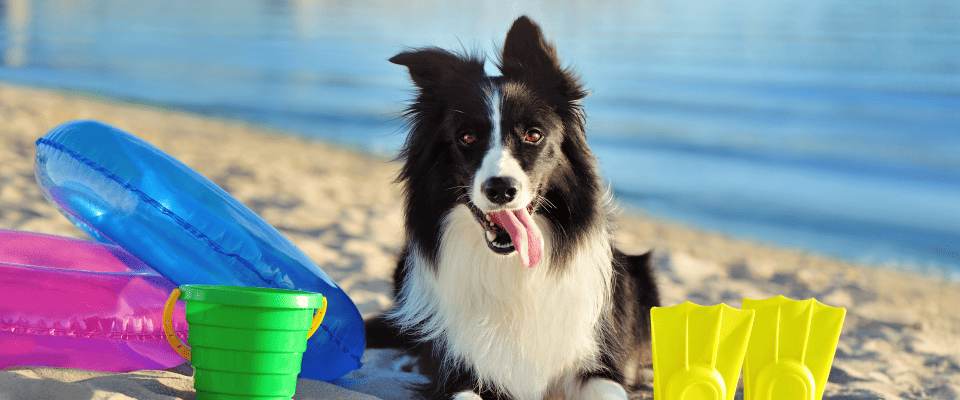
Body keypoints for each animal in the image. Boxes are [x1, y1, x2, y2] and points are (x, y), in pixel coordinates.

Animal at [366, 16, 660, 400]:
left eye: (533, 135)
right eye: (467, 137)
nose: (501, 189)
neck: (511, 271)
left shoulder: (596, 362)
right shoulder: (457, 370)